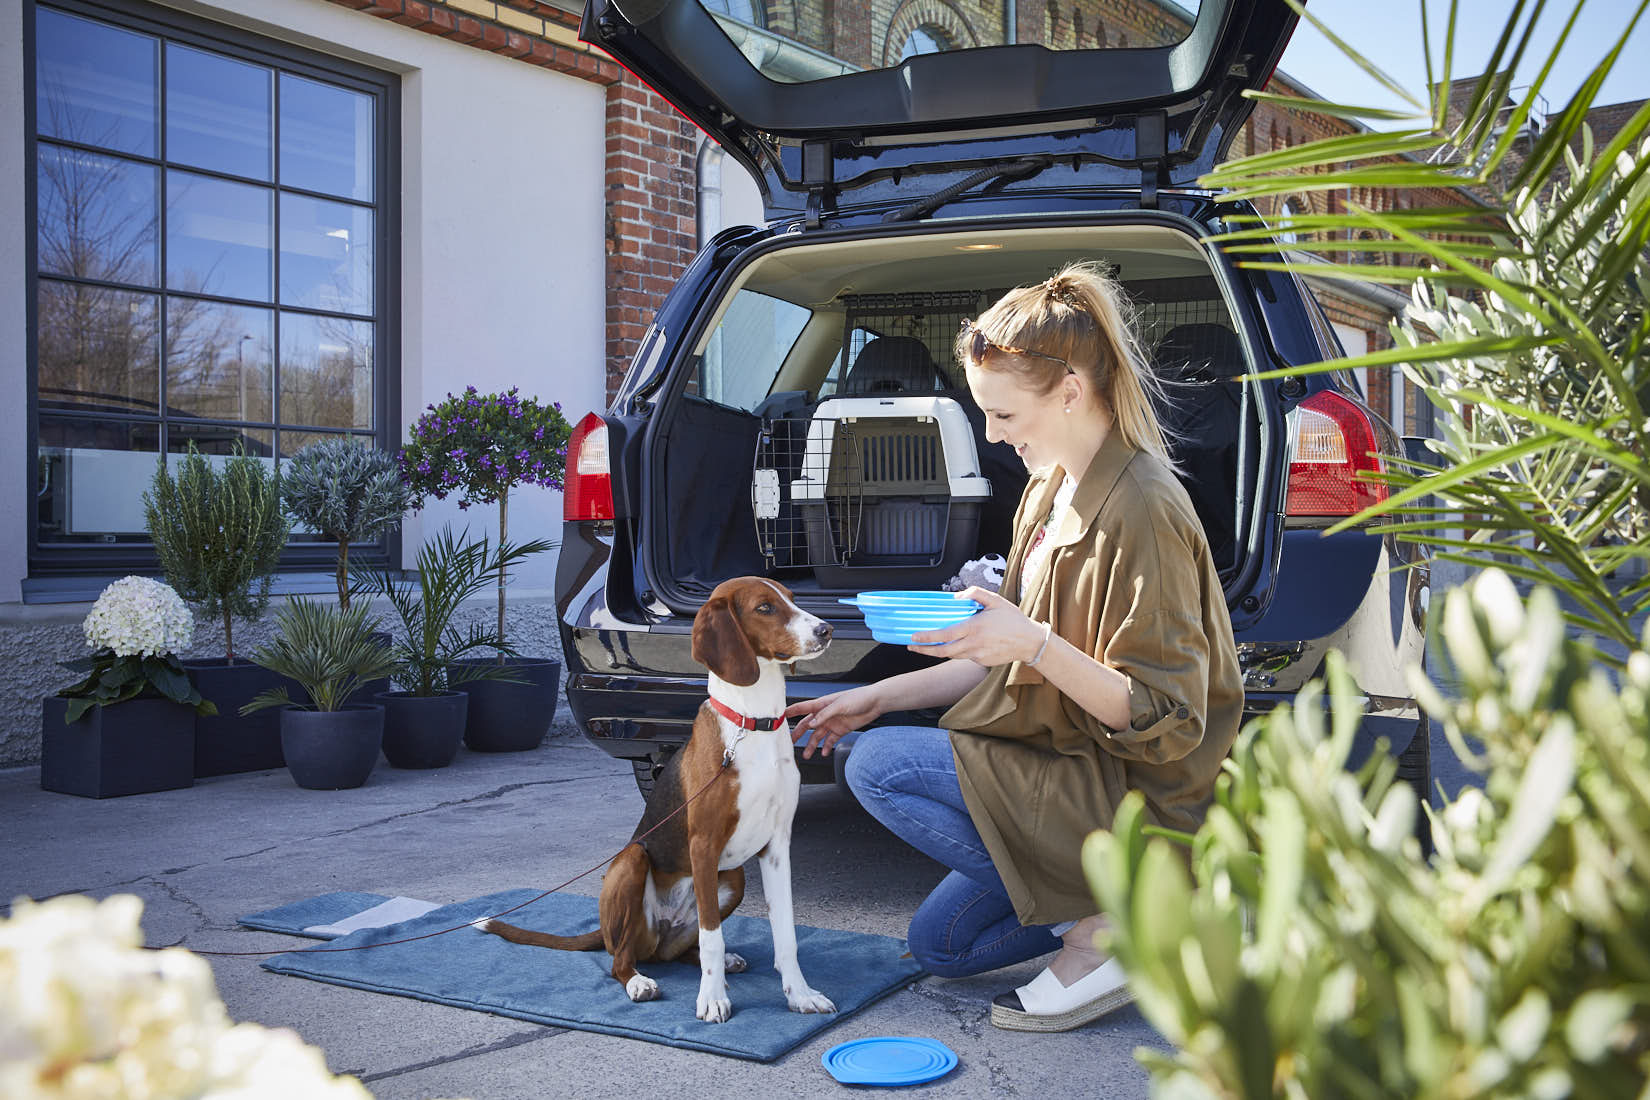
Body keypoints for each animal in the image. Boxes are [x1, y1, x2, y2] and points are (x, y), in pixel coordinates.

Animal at [481, 577, 838, 1022]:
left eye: (791, 598)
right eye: (765, 608)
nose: (826, 630)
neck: (752, 724)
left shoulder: (776, 847)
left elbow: (784, 934)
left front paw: (799, 994)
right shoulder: (703, 845)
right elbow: (712, 937)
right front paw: (712, 999)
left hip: (732, 878)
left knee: (680, 951)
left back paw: (723, 963)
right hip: (633, 862)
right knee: (622, 958)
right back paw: (639, 981)